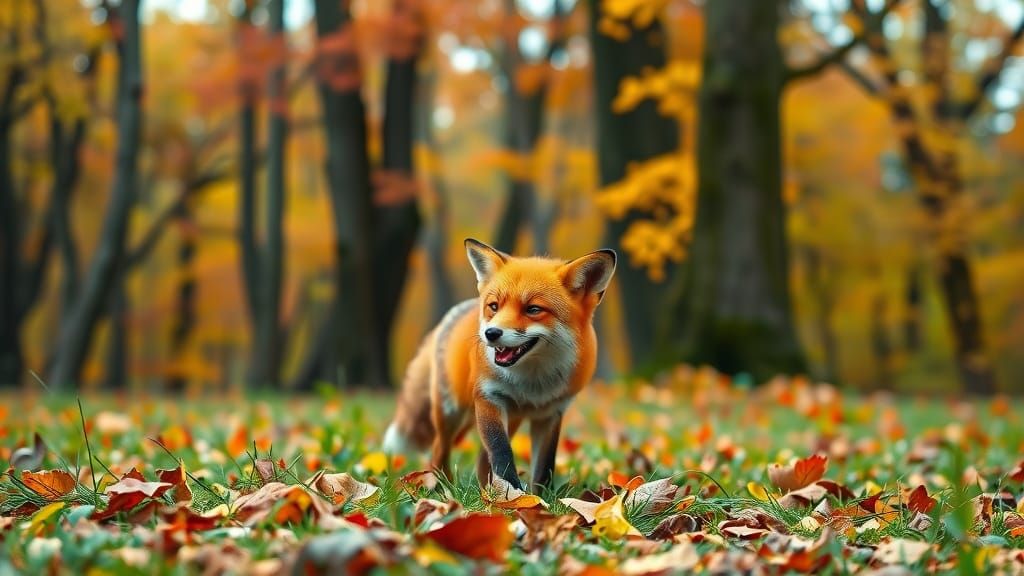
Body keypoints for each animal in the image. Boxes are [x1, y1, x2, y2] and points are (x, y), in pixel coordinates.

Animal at [383, 238, 616, 491]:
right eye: (494, 306)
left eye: (533, 309)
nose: (491, 333)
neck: (532, 383)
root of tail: (457, 311)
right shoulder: (488, 397)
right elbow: (501, 451)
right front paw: (514, 492)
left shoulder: (551, 413)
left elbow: (544, 466)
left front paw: (537, 497)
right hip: (450, 410)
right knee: (439, 450)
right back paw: (442, 486)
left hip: (508, 418)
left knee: (481, 460)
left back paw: (484, 490)